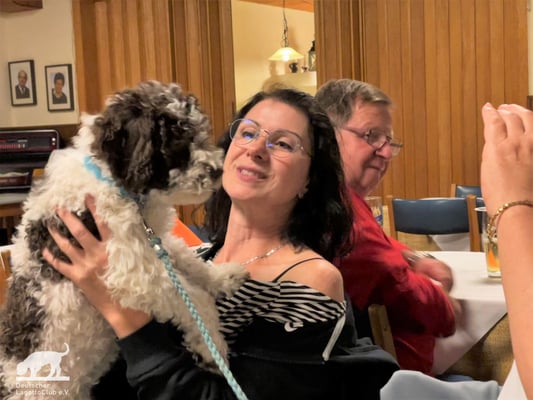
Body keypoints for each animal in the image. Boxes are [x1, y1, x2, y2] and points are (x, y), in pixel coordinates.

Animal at [0, 81, 248, 399]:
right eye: (177, 140)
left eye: (199, 132)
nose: (218, 171)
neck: (113, 180)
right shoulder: (132, 272)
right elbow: (196, 299)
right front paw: (211, 347)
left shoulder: (151, 240)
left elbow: (188, 261)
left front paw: (223, 275)